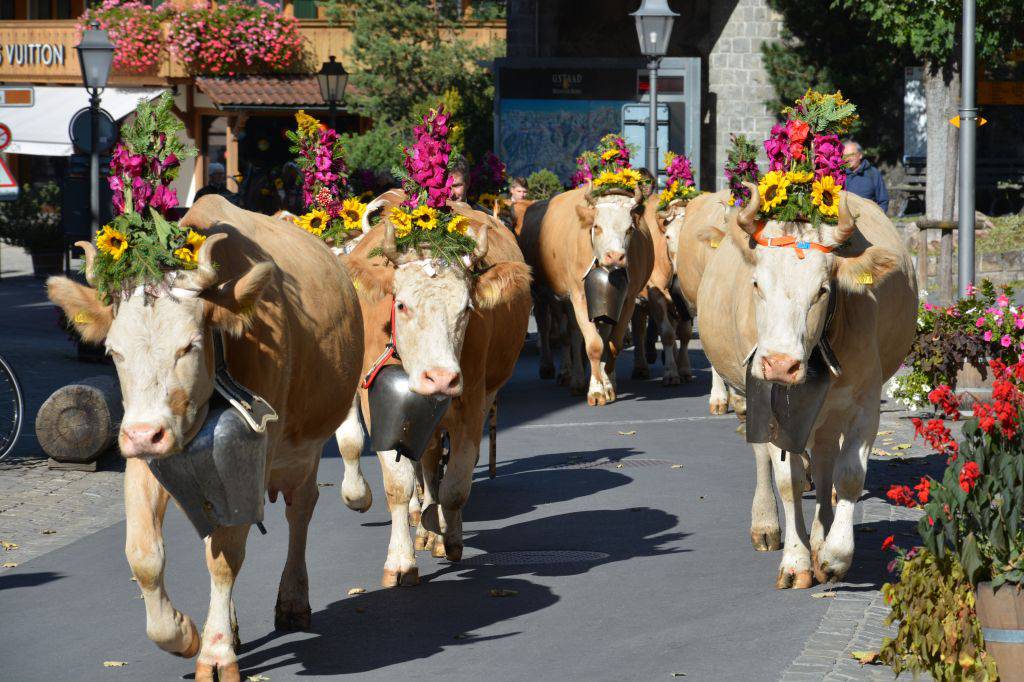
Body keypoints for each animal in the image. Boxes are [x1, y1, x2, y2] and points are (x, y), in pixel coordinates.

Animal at [48, 192, 368, 679]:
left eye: (189, 346)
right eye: (113, 351)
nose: (144, 434)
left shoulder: (251, 456)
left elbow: (225, 557)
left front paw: (216, 654)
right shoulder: (143, 453)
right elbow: (143, 554)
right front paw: (183, 633)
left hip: (305, 447)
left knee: (301, 510)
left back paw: (293, 600)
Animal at [335, 195, 532, 585]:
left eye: (467, 308)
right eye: (401, 304)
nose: (440, 378)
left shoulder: (471, 403)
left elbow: (455, 486)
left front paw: (449, 538)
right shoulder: (377, 405)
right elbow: (398, 483)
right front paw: (400, 562)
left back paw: (434, 528)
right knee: (424, 460)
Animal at [520, 183, 655, 403]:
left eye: (629, 229)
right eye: (597, 227)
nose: (615, 256)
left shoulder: (627, 300)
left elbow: (612, 344)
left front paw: (608, 382)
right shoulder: (578, 297)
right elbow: (593, 345)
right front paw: (596, 390)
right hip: (548, 296)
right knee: (563, 332)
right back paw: (567, 375)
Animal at [630, 192, 696, 382]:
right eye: (668, 236)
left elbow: (685, 333)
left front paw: (684, 368)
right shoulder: (655, 294)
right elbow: (666, 333)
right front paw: (671, 373)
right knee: (639, 329)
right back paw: (641, 367)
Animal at [696, 184, 913, 585]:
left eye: (823, 290)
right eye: (756, 285)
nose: (780, 364)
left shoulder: (864, 403)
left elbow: (848, 476)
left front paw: (833, 555)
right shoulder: (769, 402)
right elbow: (789, 480)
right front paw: (796, 560)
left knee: (826, 461)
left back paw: (820, 535)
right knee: (764, 458)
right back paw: (765, 525)